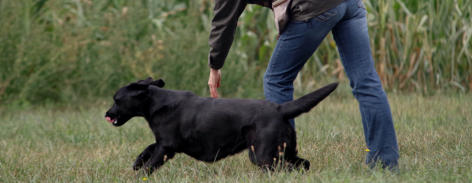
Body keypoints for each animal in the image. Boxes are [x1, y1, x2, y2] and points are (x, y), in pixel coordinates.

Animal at [105, 78, 338, 174]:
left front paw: (138, 173)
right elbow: (148, 148)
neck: (156, 103)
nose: (107, 114)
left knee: (285, 169)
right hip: (285, 150)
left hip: (262, 155)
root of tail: (280, 109)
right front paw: (137, 162)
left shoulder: (167, 146)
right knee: (304, 164)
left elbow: (150, 163)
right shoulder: (164, 143)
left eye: (117, 100)